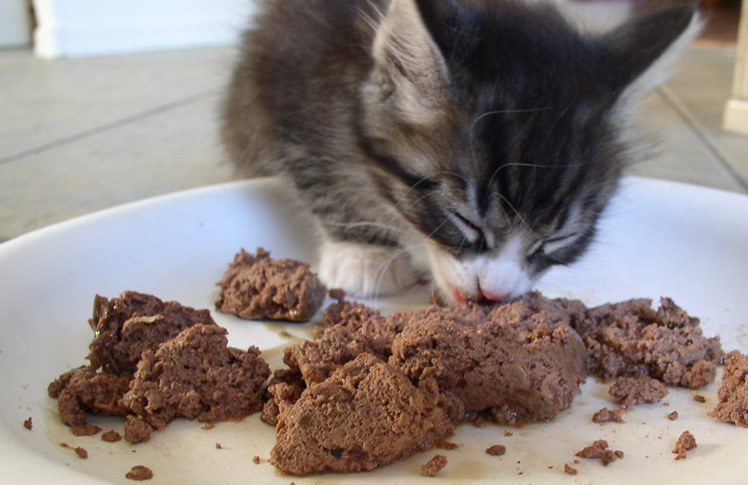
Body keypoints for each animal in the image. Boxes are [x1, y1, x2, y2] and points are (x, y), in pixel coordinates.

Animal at [221, 0, 700, 303]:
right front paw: (362, 252)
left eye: (557, 239)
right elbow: (311, 167)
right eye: (465, 221)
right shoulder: (285, 79)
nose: (495, 294)